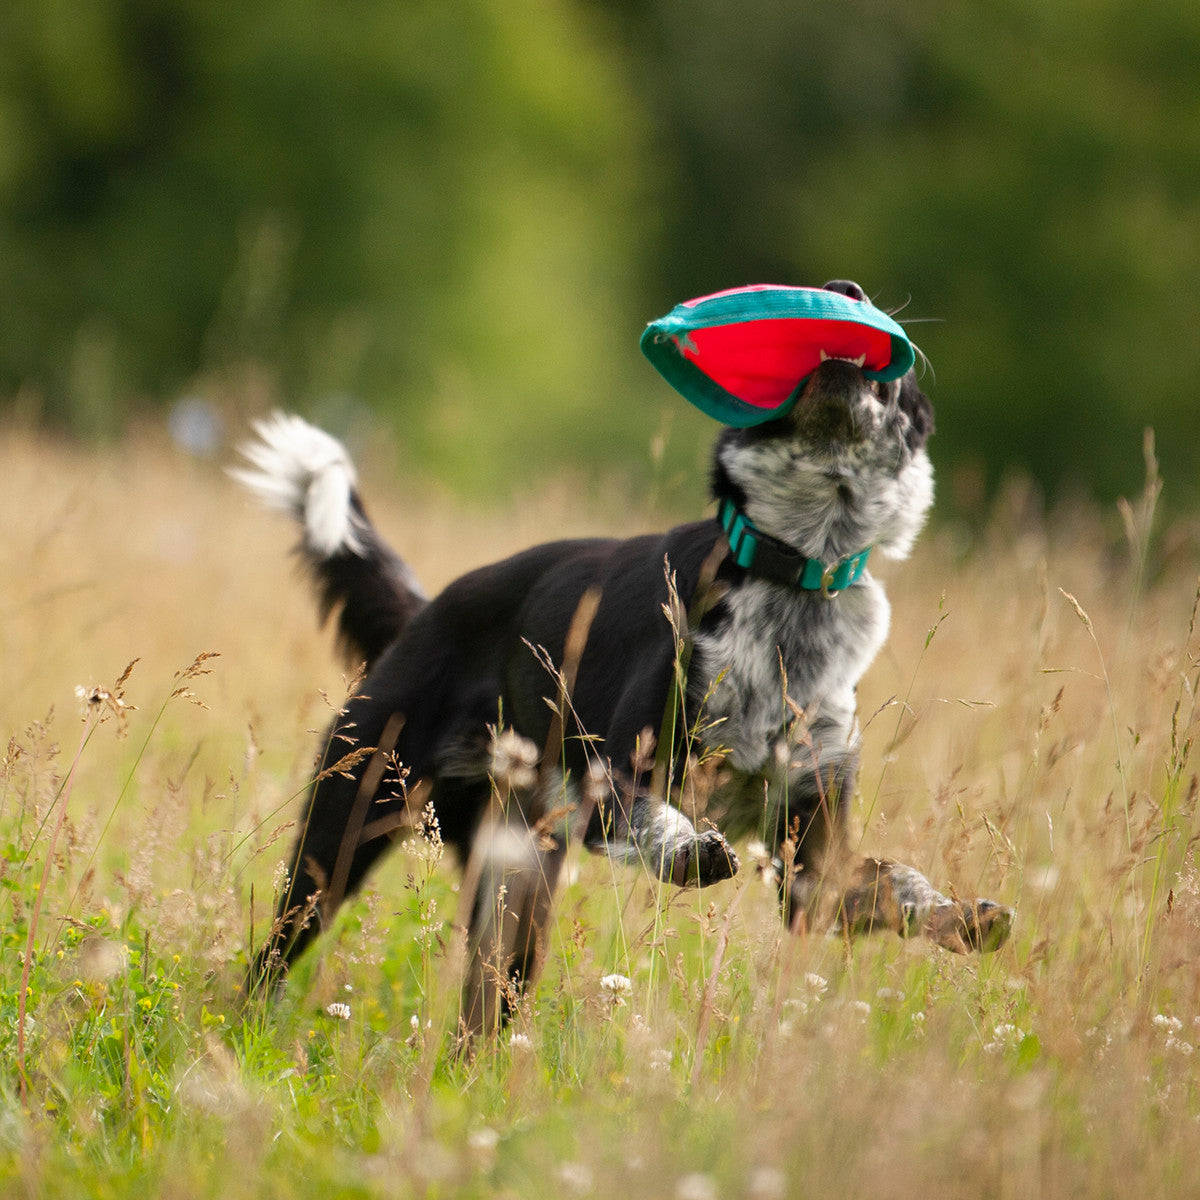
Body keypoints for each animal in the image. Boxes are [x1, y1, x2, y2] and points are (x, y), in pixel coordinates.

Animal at [234, 280, 1012, 1032]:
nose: (842, 287)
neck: (791, 576)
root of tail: (423, 615)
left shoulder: (812, 865)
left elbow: (897, 881)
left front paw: (963, 916)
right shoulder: (612, 783)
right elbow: (658, 821)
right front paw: (693, 850)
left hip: (515, 893)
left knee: (481, 1015)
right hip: (345, 832)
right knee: (270, 957)